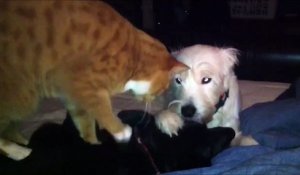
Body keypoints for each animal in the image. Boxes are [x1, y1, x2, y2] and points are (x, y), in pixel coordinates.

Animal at [0, 0, 188, 161]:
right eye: (163, 88)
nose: (153, 100)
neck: (133, 58)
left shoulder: (73, 96)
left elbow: (84, 122)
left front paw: (93, 143)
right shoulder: (82, 85)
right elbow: (103, 111)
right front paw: (120, 132)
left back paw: (24, 142)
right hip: (23, 97)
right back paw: (20, 151)